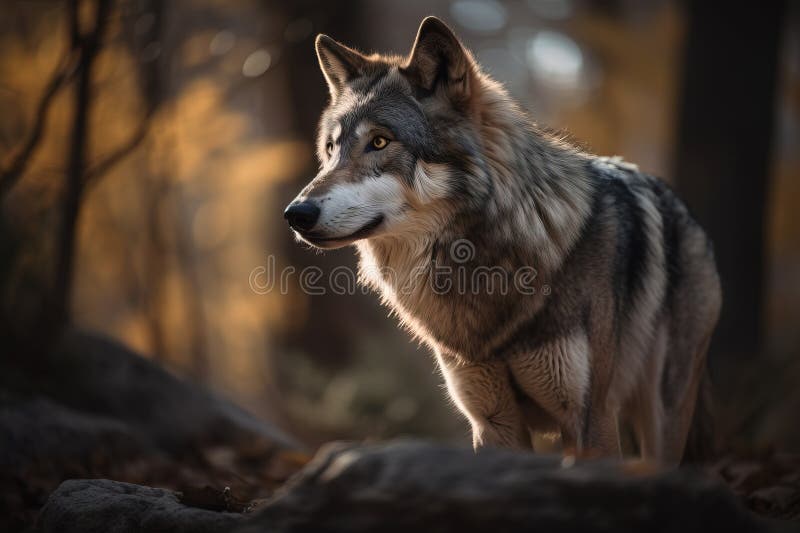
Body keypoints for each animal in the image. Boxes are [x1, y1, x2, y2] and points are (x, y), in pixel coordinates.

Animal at [284, 16, 721, 463]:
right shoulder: (492, 422)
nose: (296, 214)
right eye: (331, 149)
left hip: (662, 416)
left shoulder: (591, 418)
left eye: (379, 142)